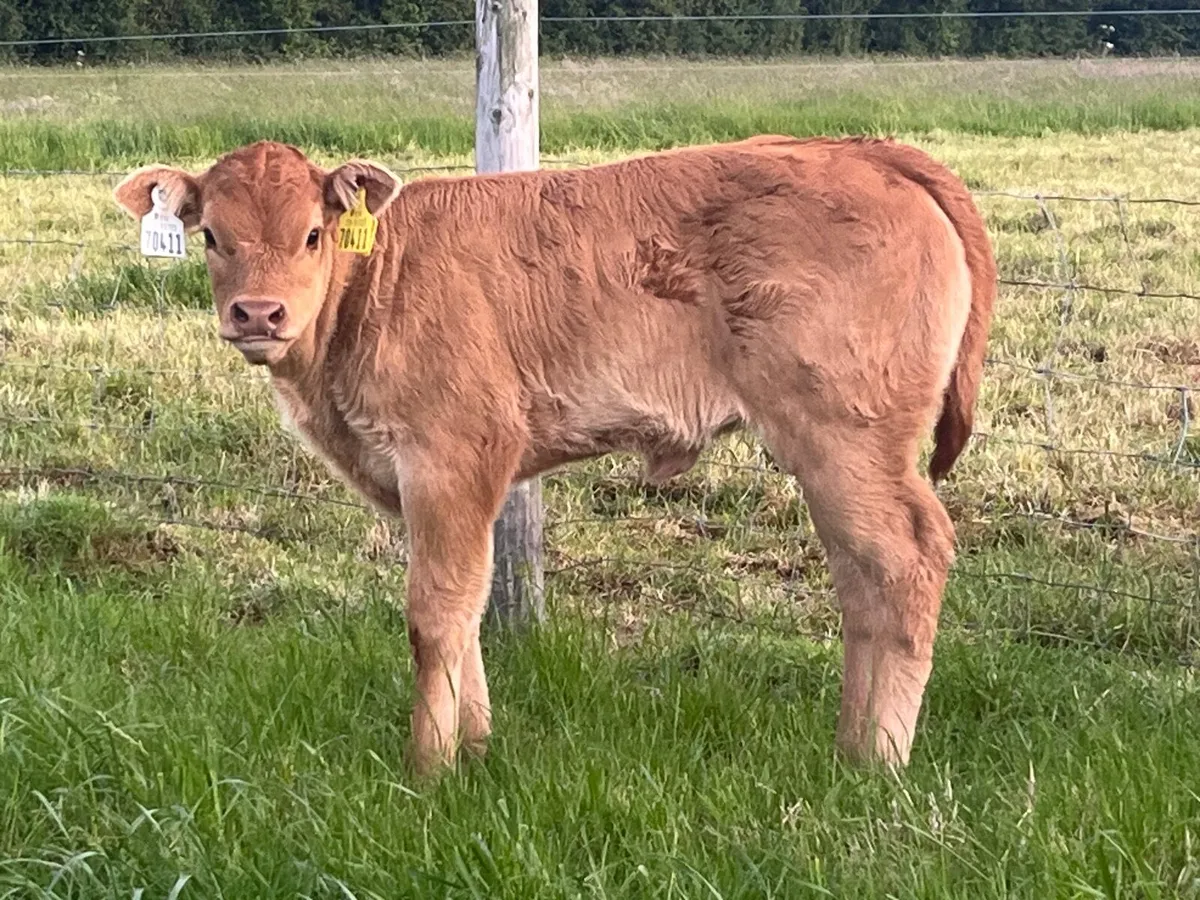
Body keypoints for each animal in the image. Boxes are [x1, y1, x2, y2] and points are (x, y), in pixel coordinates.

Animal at [114, 135, 997, 776]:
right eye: (211, 236)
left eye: (311, 234)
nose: (257, 314)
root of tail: (863, 150)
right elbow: (467, 606)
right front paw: (475, 748)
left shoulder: (450, 457)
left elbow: (434, 611)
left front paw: (428, 768)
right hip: (839, 456)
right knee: (860, 581)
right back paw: (849, 748)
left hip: (846, 435)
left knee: (907, 561)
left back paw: (879, 763)